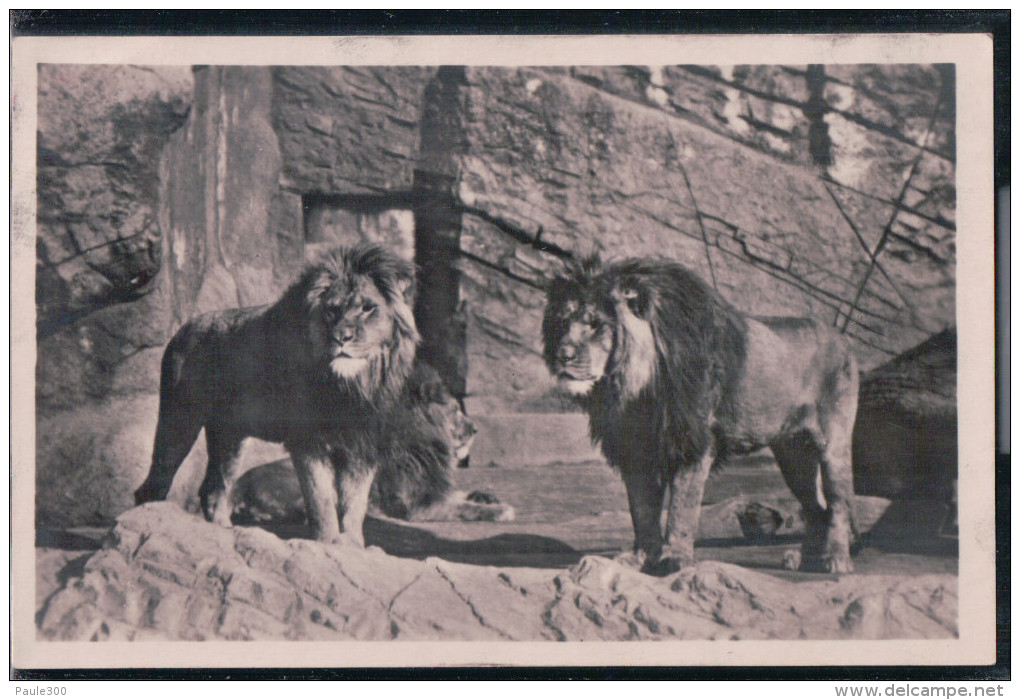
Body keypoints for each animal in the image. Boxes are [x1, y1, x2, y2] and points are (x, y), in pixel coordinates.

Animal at [134, 245, 418, 546]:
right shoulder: (308, 441)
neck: (353, 386)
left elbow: (354, 504)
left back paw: (227, 533)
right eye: (332, 310)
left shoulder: (363, 444)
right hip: (179, 420)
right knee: (153, 485)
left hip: (229, 436)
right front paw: (327, 542)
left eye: (367, 308)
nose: (342, 337)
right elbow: (321, 500)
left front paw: (351, 545)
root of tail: (183, 329)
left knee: (213, 490)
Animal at [542, 256, 860, 575]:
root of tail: (844, 339)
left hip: (833, 443)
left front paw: (676, 559)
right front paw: (640, 557)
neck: (633, 384)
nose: (562, 355)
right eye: (562, 321)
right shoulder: (636, 449)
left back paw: (836, 559)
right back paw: (805, 560)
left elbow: (682, 509)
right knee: (815, 508)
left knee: (838, 502)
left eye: (596, 324)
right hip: (793, 454)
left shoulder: (693, 444)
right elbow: (642, 511)